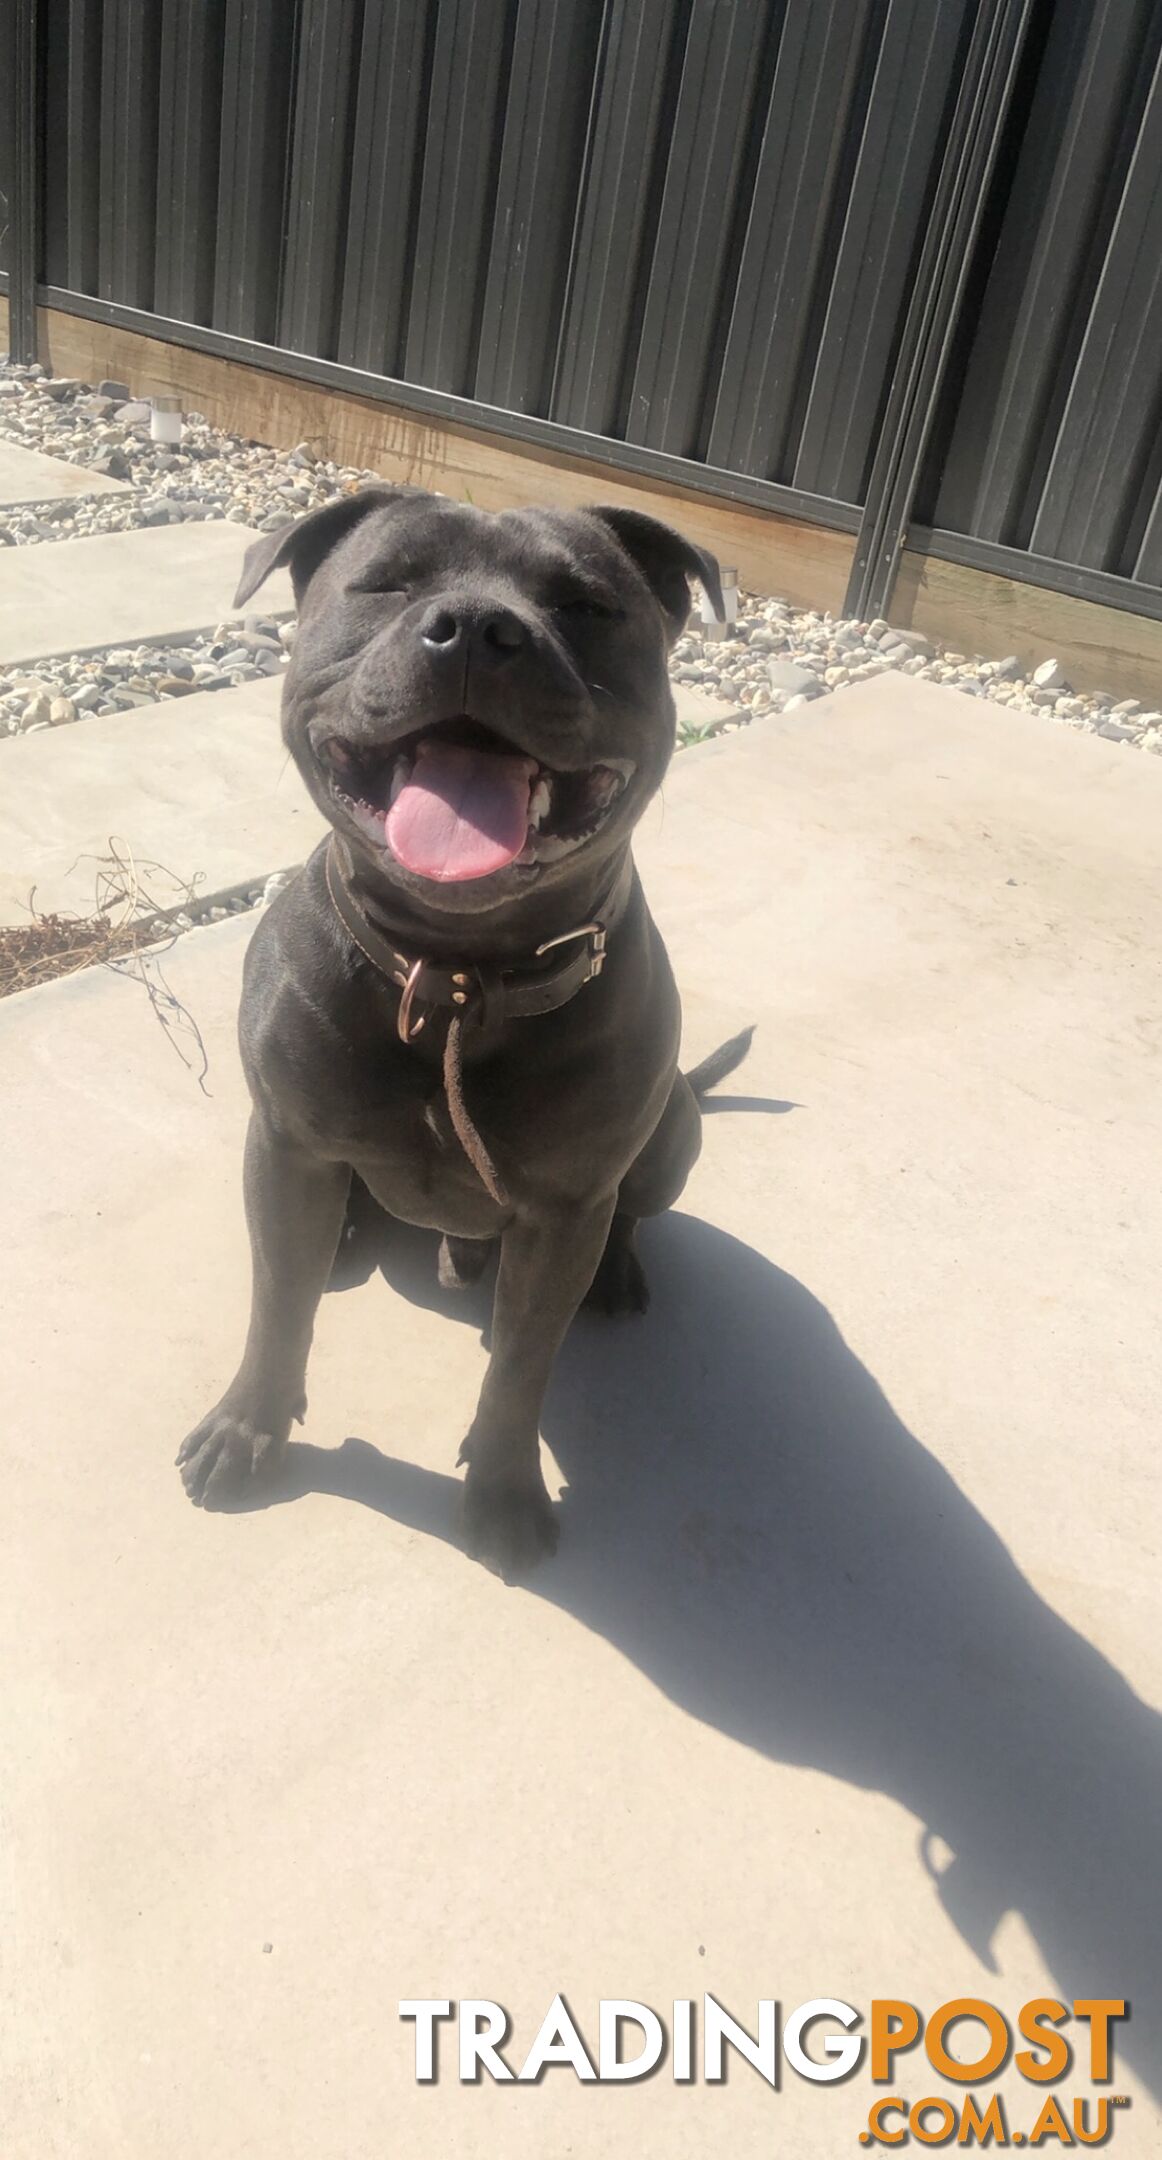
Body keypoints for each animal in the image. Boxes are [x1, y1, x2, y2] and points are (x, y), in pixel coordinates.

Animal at [176, 481, 747, 1581]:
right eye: (388, 583)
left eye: (584, 604)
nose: (480, 627)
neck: (453, 976)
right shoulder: (285, 1146)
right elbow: (278, 1304)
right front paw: (249, 1428)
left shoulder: (563, 1211)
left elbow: (521, 1365)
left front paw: (503, 1492)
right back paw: (350, 1233)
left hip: (674, 1133)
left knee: (632, 1209)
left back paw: (617, 1271)